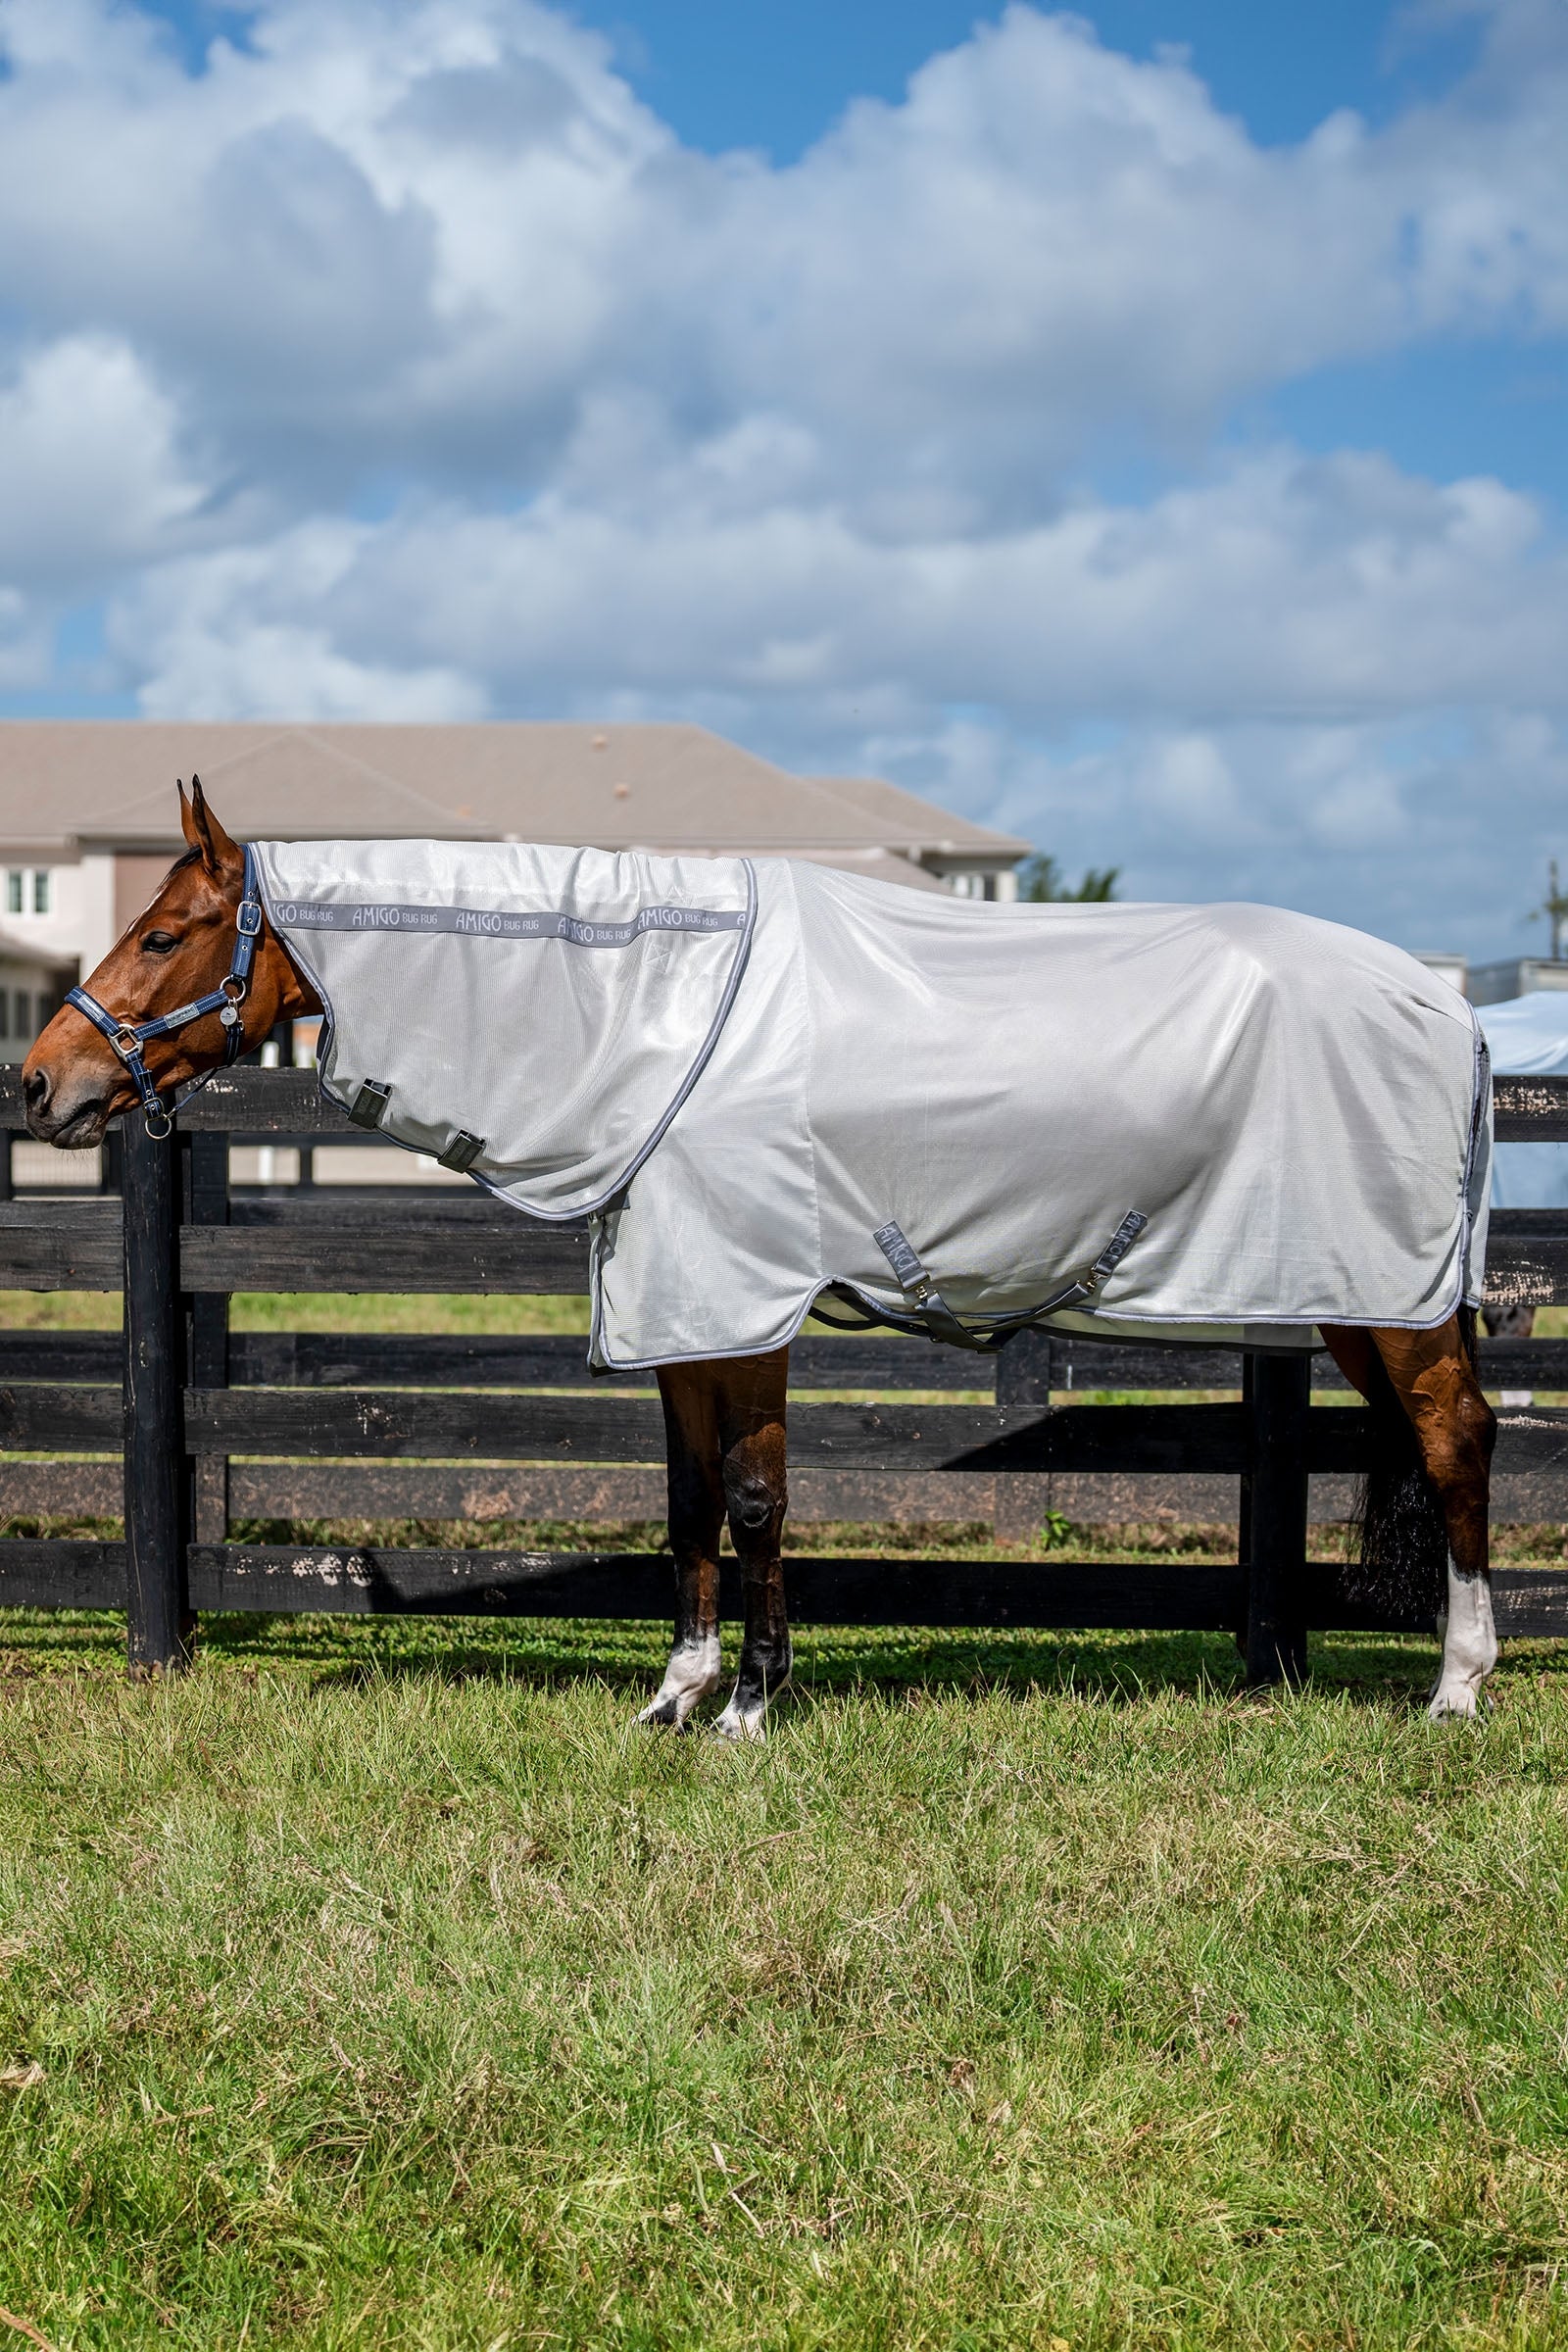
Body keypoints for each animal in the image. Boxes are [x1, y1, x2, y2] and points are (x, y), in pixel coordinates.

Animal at [22, 780, 1499, 1730]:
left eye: (164, 933)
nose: (41, 1086)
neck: (656, 1014)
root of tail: (1449, 1005)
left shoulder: (746, 1305)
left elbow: (753, 1501)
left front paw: (748, 1706)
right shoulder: (683, 1316)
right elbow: (688, 1504)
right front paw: (677, 1696)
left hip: (1398, 1305)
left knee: (1458, 1444)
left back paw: (1457, 1689)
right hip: (1357, 1302)